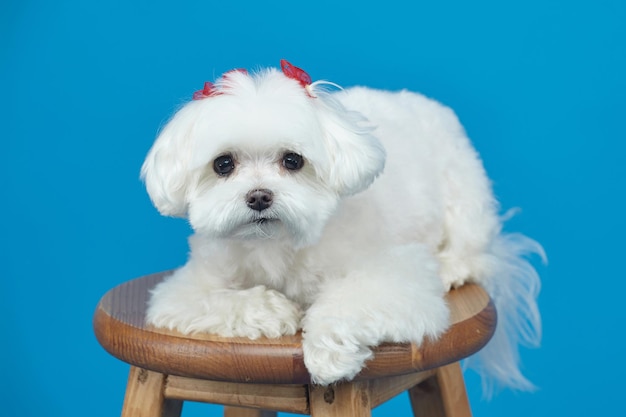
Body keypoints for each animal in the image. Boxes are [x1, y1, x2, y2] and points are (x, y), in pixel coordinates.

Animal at [141, 60, 540, 392]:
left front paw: (328, 354)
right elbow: (218, 300)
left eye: (293, 160)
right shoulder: (187, 288)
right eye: (223, 164)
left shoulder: (397, 274)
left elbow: (347, 303)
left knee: (473, 252)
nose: (259, 196)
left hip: (464, 192)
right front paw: (272, 310)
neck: (277, 244)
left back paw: (452, 267)